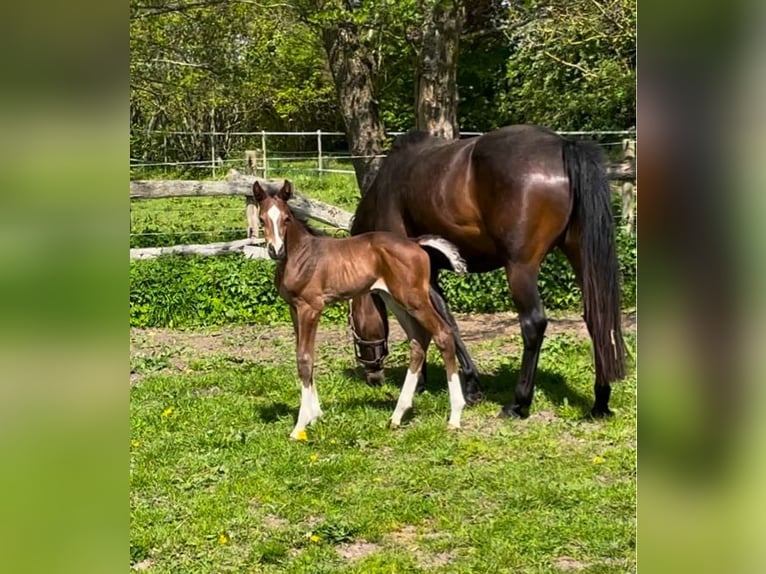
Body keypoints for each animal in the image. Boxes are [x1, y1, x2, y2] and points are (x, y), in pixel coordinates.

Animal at [254, 181, 468, 440]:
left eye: (286, 219)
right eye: (262, 219)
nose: (275, 250)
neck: (301, 255)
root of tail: (416, 242)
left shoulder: (310, 308)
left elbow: (304, 358)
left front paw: (300, 425)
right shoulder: (294, 309)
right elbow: (306, 356)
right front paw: (315, 415)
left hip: (414, 298)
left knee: (443, 334)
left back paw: (454, 417)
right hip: (394, 299)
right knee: (419, 341)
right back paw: (397, 416)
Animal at [352, 124, 628, 418]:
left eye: (353, 322)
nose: (373, 378)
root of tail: (564, 146)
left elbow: (439, 324)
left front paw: (455, 386)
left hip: (520, 268)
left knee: (533, 324)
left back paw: (518, 403)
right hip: (579, 255)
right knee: (597, 318)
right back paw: (600, 402)